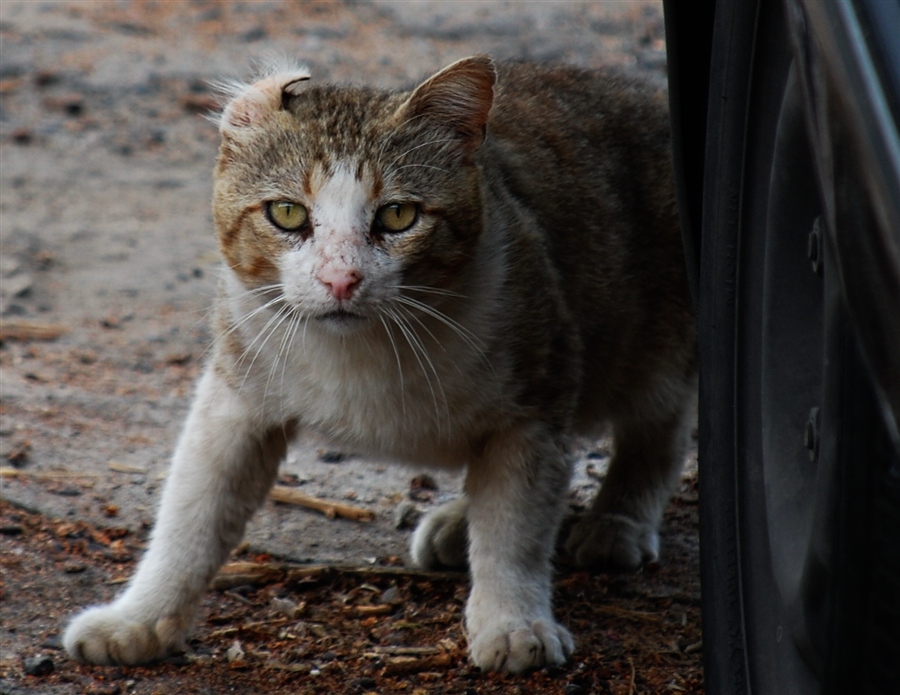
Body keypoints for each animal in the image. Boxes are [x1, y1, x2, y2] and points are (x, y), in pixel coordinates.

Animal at [61, 54, 696, 676]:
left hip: (659, 336)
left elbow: (515, 527)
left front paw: (513, 622)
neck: (365, 350)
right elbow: (192, 513)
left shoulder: (537, 397)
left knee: (657, 430)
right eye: (286, 212)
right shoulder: (237, 394)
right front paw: (141, 618)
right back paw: (461, 521)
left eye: (397, 216)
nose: (341, 279)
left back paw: (617, 520)